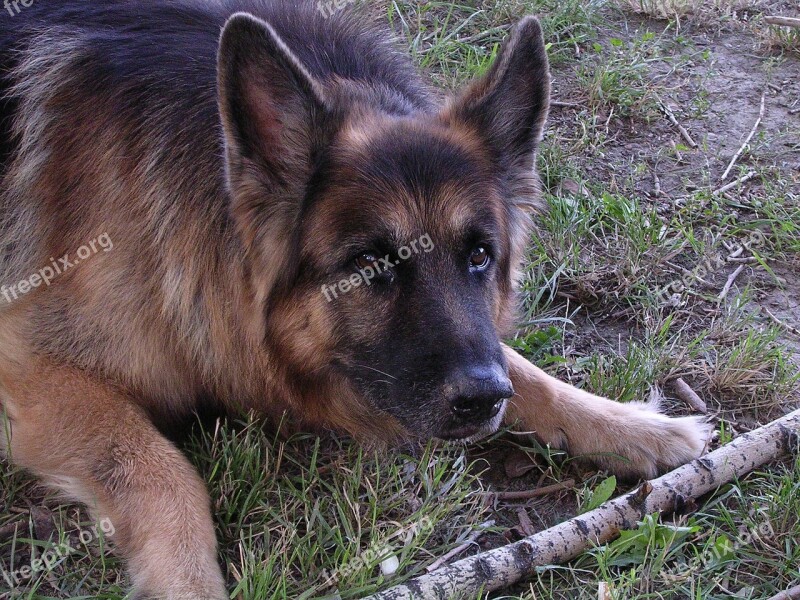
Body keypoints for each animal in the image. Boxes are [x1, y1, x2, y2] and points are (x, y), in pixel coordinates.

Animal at [1, 2, 712, 596]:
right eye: (371, 265)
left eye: (480, 256)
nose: (484, 399)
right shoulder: (35, 369)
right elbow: (163, 474)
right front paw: (187, 583)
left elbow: (526, 369)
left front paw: (635, 427)